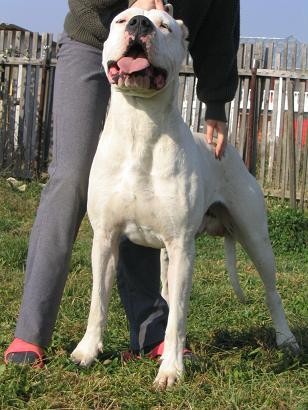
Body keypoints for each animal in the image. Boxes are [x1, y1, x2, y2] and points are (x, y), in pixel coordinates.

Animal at [71, 8, 298, 390]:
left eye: (164, 25)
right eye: (122, 20)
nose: (140, 24)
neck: (139, 128)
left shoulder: (181, 247)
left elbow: (177, 315)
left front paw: (171, 370)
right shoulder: (104, 240)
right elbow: (97, 302)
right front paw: (87, 351)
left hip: (256, 239)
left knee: (272, 292)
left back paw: (286, 339)